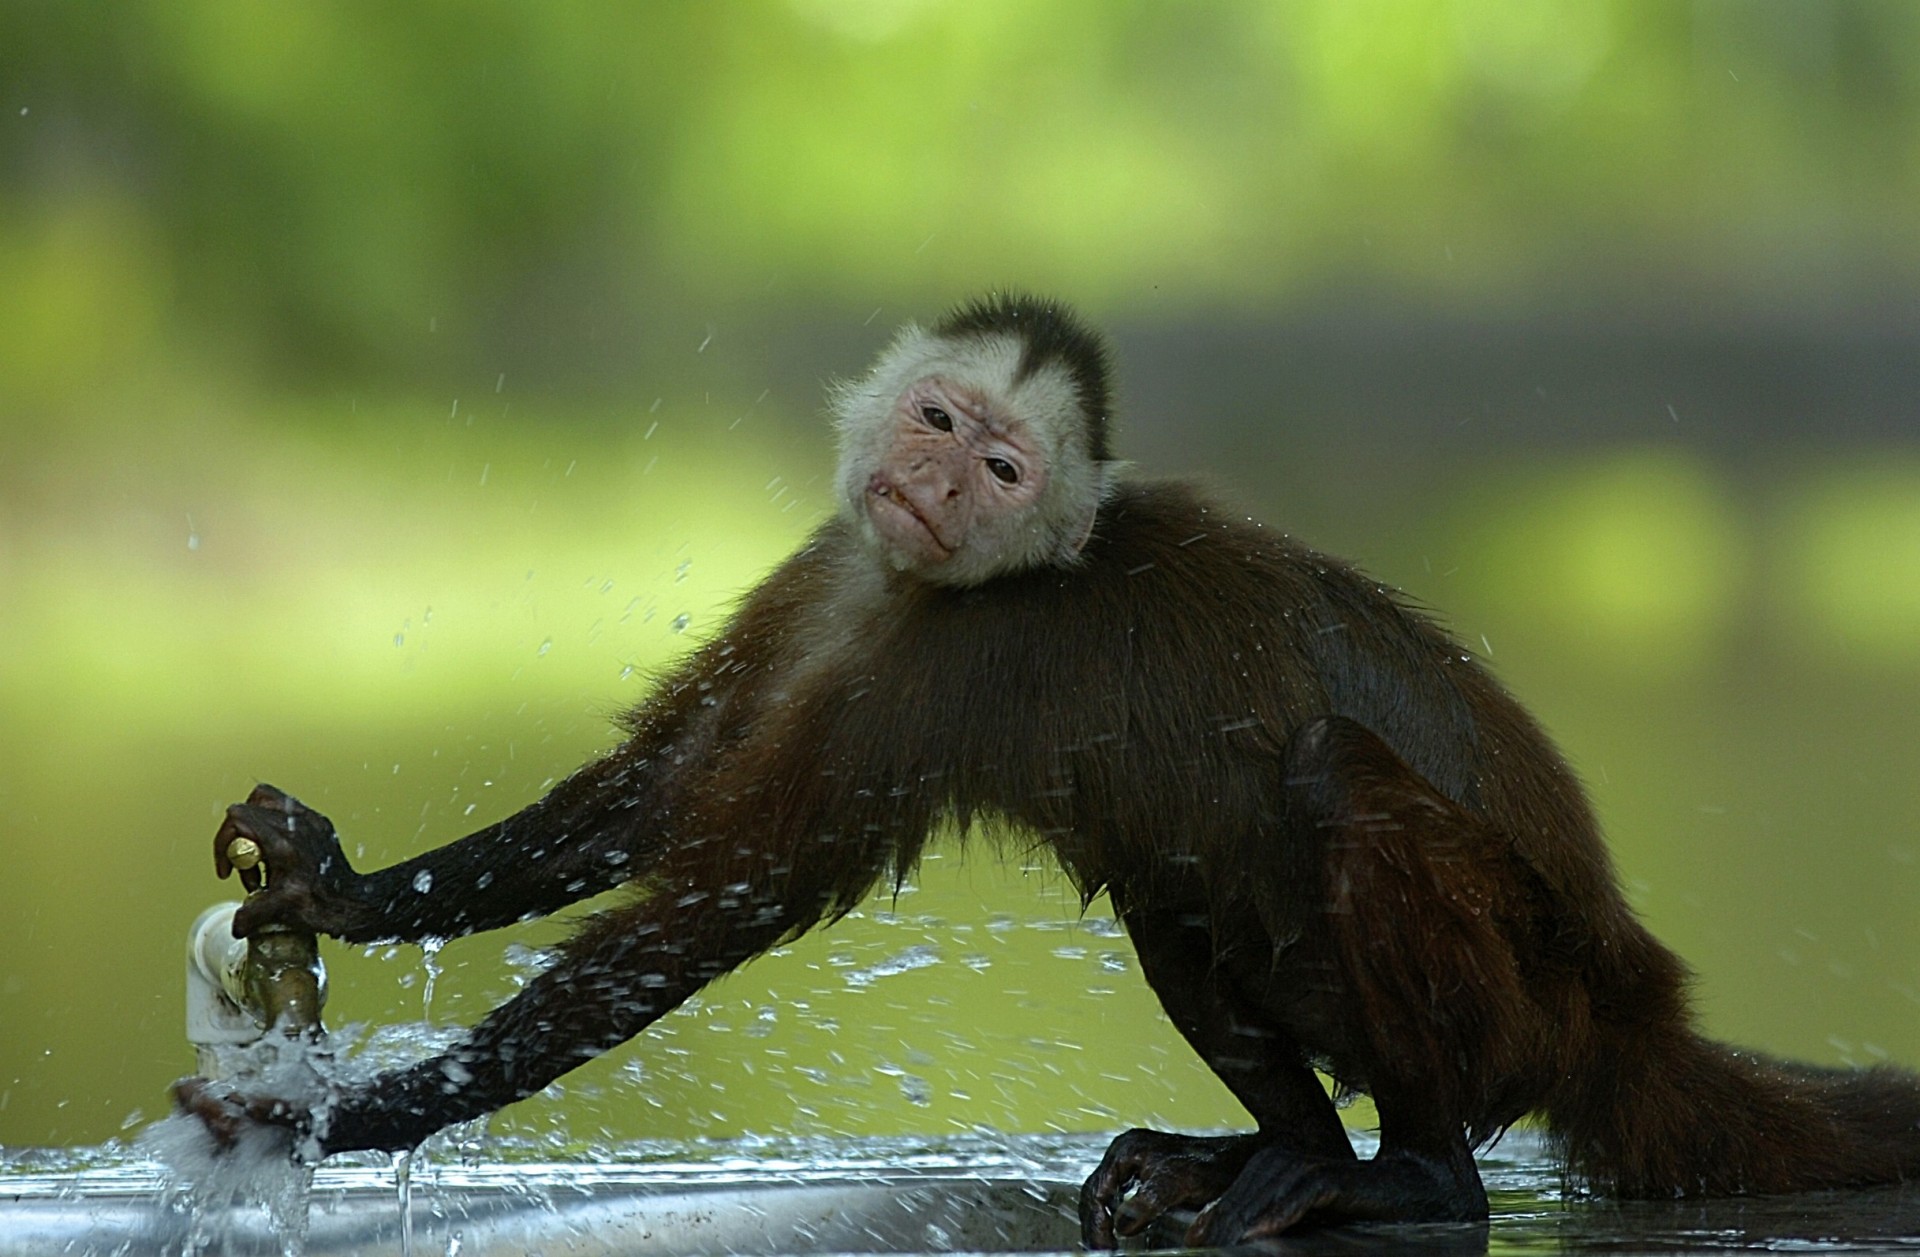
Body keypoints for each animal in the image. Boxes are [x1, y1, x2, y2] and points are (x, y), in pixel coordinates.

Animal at [176, 293, 1920, 1244]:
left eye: (1006, 467)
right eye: (941, 422)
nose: (940, 483)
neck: (923, 584)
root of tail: (1634, 1002)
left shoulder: (949, 664)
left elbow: (717, 897)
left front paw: (354, 1116)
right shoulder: (835, 570)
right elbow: (653, 800)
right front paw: (343, 888)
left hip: (1529, 992)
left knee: (1328, 783)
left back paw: (1413, 1177)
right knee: (1172, 879)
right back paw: (1286, 1149)